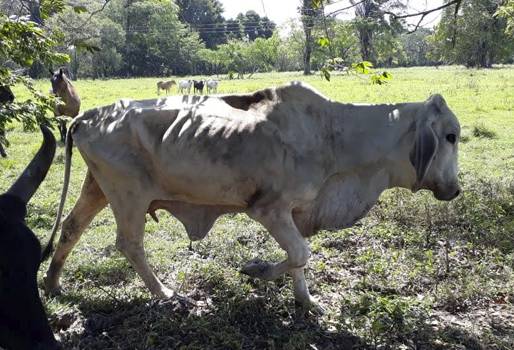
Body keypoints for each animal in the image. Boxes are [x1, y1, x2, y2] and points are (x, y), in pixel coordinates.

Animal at [45, 82, 460, 312]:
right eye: (451, 136)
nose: (455, 190)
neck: (334, 135)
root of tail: (86, 117)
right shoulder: (268, 208)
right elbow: (300, 254)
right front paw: (256, 270)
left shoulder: (294, 212)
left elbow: (298, 259)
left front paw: (305, 301)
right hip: (129, 194)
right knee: (129, 244)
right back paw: (165, 292)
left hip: (98, 187)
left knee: (71, 228)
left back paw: (52, 283)